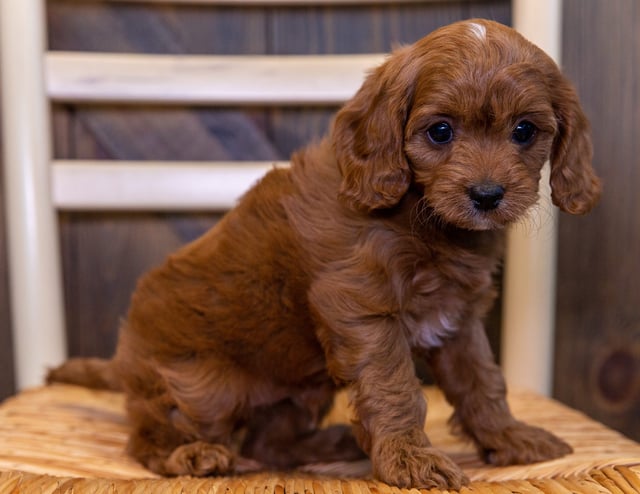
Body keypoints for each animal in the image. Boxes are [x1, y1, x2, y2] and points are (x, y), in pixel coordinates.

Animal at [48, 19, 600, 490]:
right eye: (440, 131)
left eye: (524, 131)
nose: (487, 195)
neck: (422, 216)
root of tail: (123, 361)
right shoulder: (361, 307)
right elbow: (395, 389)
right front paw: (409, 460)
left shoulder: (457, 319)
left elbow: (482, 381)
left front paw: (507, 437)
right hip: (202, 387)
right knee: (149, 435)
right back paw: (190, 454)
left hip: (302, 390)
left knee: (269, 443)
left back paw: (334, 443)